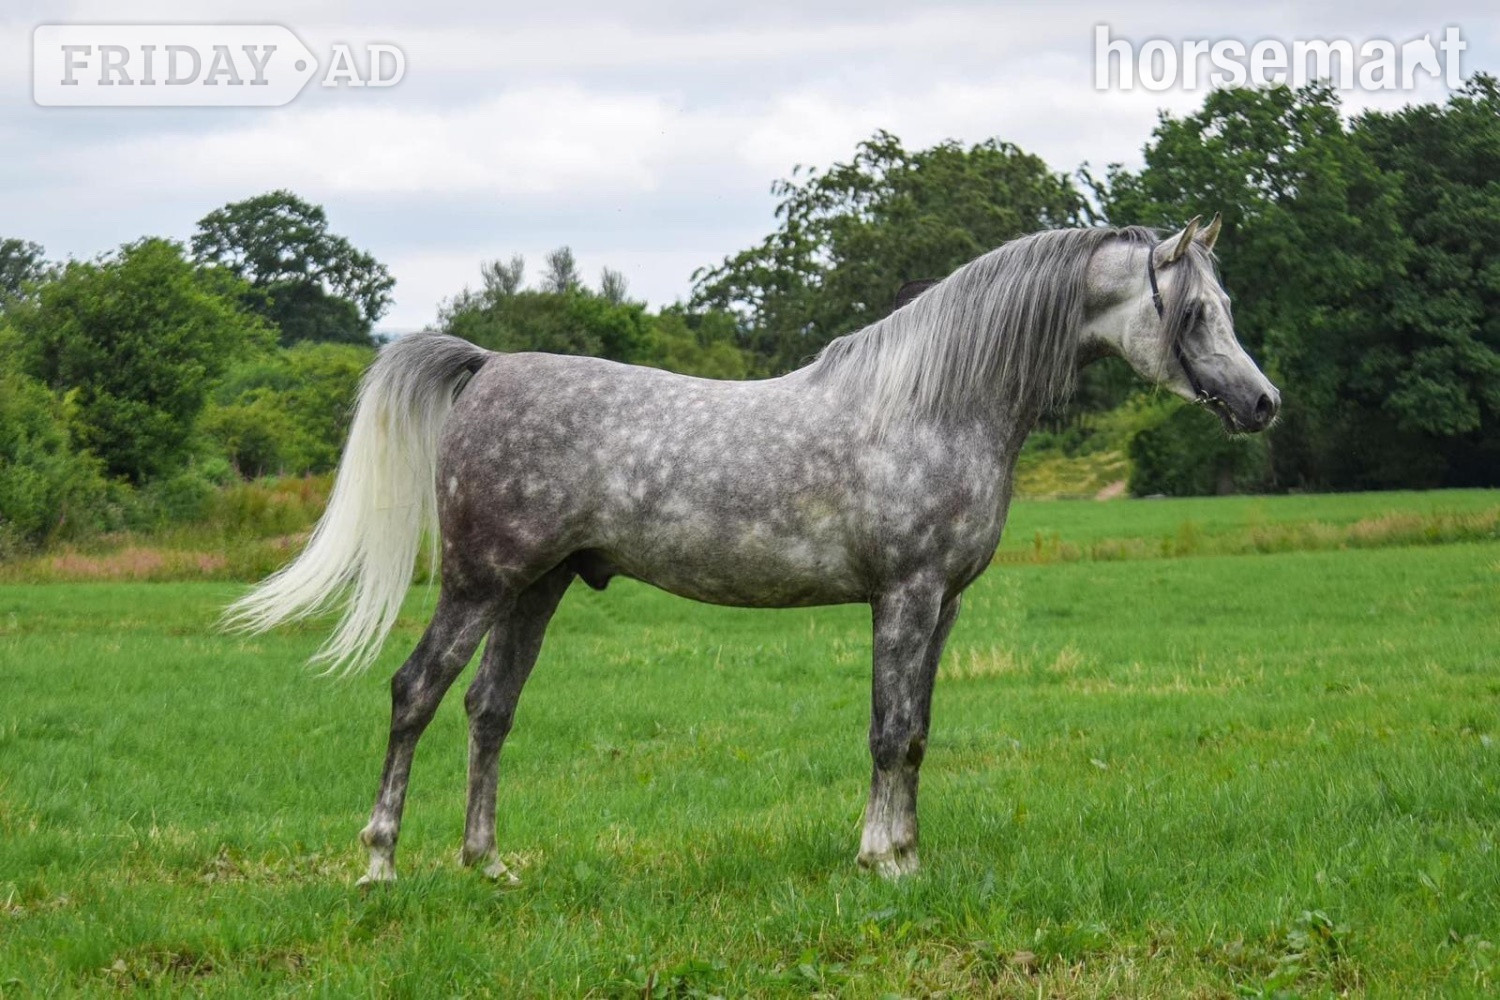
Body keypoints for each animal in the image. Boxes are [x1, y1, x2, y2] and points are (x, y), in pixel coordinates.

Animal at [226, 216, 1279, 884]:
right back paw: (379, 864)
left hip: (538, 586)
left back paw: (488, 866)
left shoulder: (944, 604)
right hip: (480, 583)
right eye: (1193, 314)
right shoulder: (904, 595)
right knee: (416, 694)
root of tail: (489, 368)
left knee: (490, 710)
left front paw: (907, 853)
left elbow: (918, 734)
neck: (934, 404)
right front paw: (883, 863)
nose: (1263, 403)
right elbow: (888, 732)